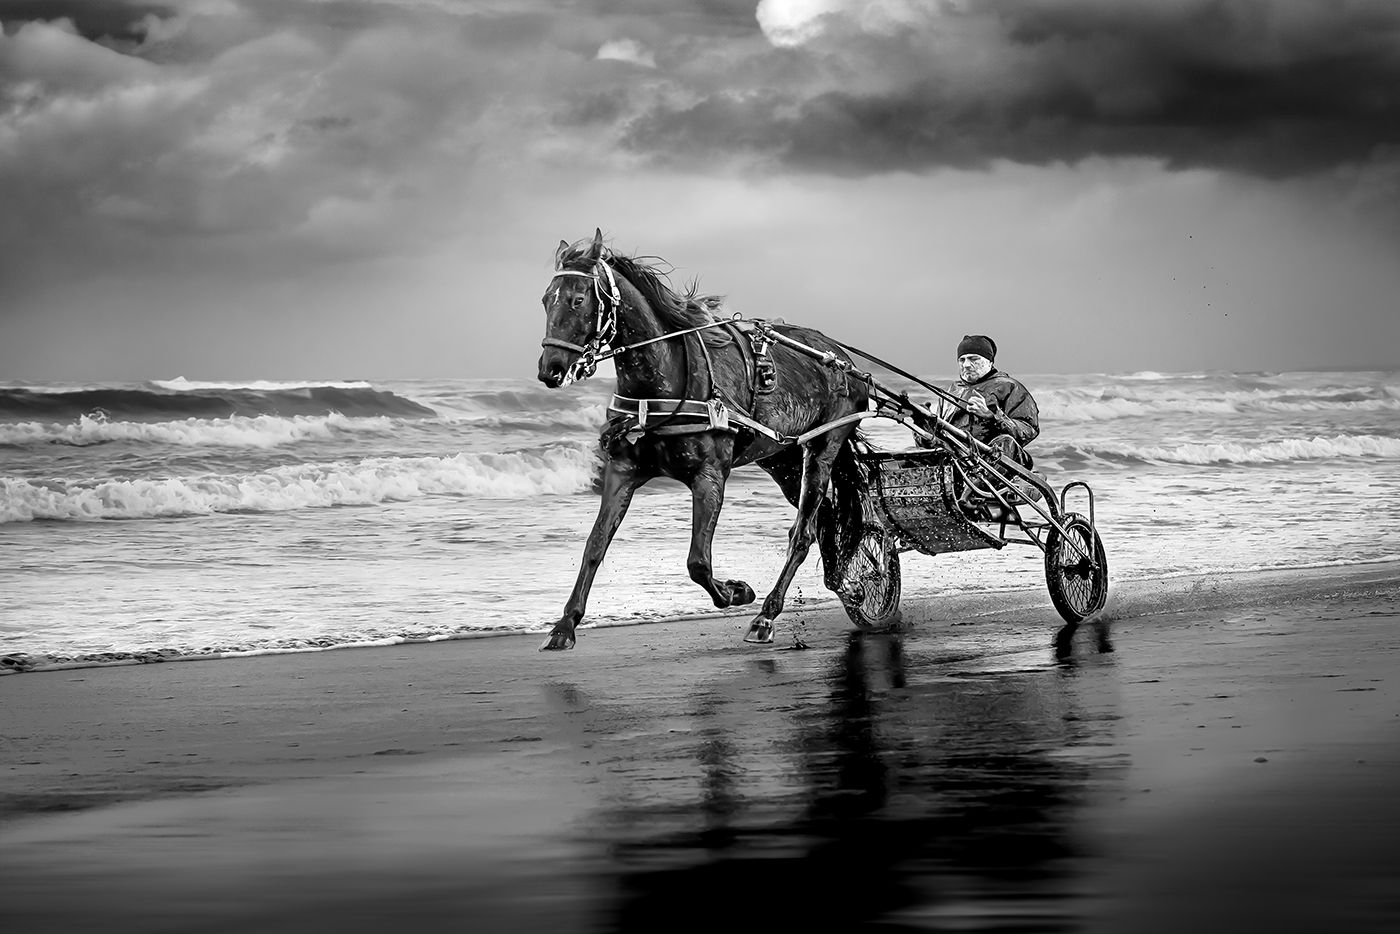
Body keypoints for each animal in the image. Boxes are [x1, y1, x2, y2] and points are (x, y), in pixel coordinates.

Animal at [535, 230, 871, 650]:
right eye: (546, 299)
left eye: (578, 300)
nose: (550, 370)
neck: (664, 383)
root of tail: (841, 358)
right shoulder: (622, 470)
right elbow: (594, 545)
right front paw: (565, 624)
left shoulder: (709, 476)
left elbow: (697, 562)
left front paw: (736, 591)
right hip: (782, 459)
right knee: (822, 519)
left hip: (823, 447)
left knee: (803, 532)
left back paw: (767, 614)